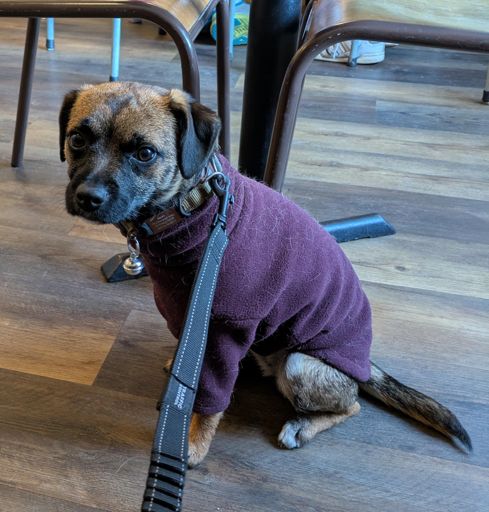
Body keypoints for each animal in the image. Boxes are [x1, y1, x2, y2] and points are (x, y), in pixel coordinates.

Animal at [60, 81, 471, 467]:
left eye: (145, 154)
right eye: (77, 139)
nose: (87, 197)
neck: (191, 206)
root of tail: (365, 365)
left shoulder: (225, 333)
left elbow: (210, 401)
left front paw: (192, 445)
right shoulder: (187, 316)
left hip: (300, 364)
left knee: (351, 405)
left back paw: (302, 426)